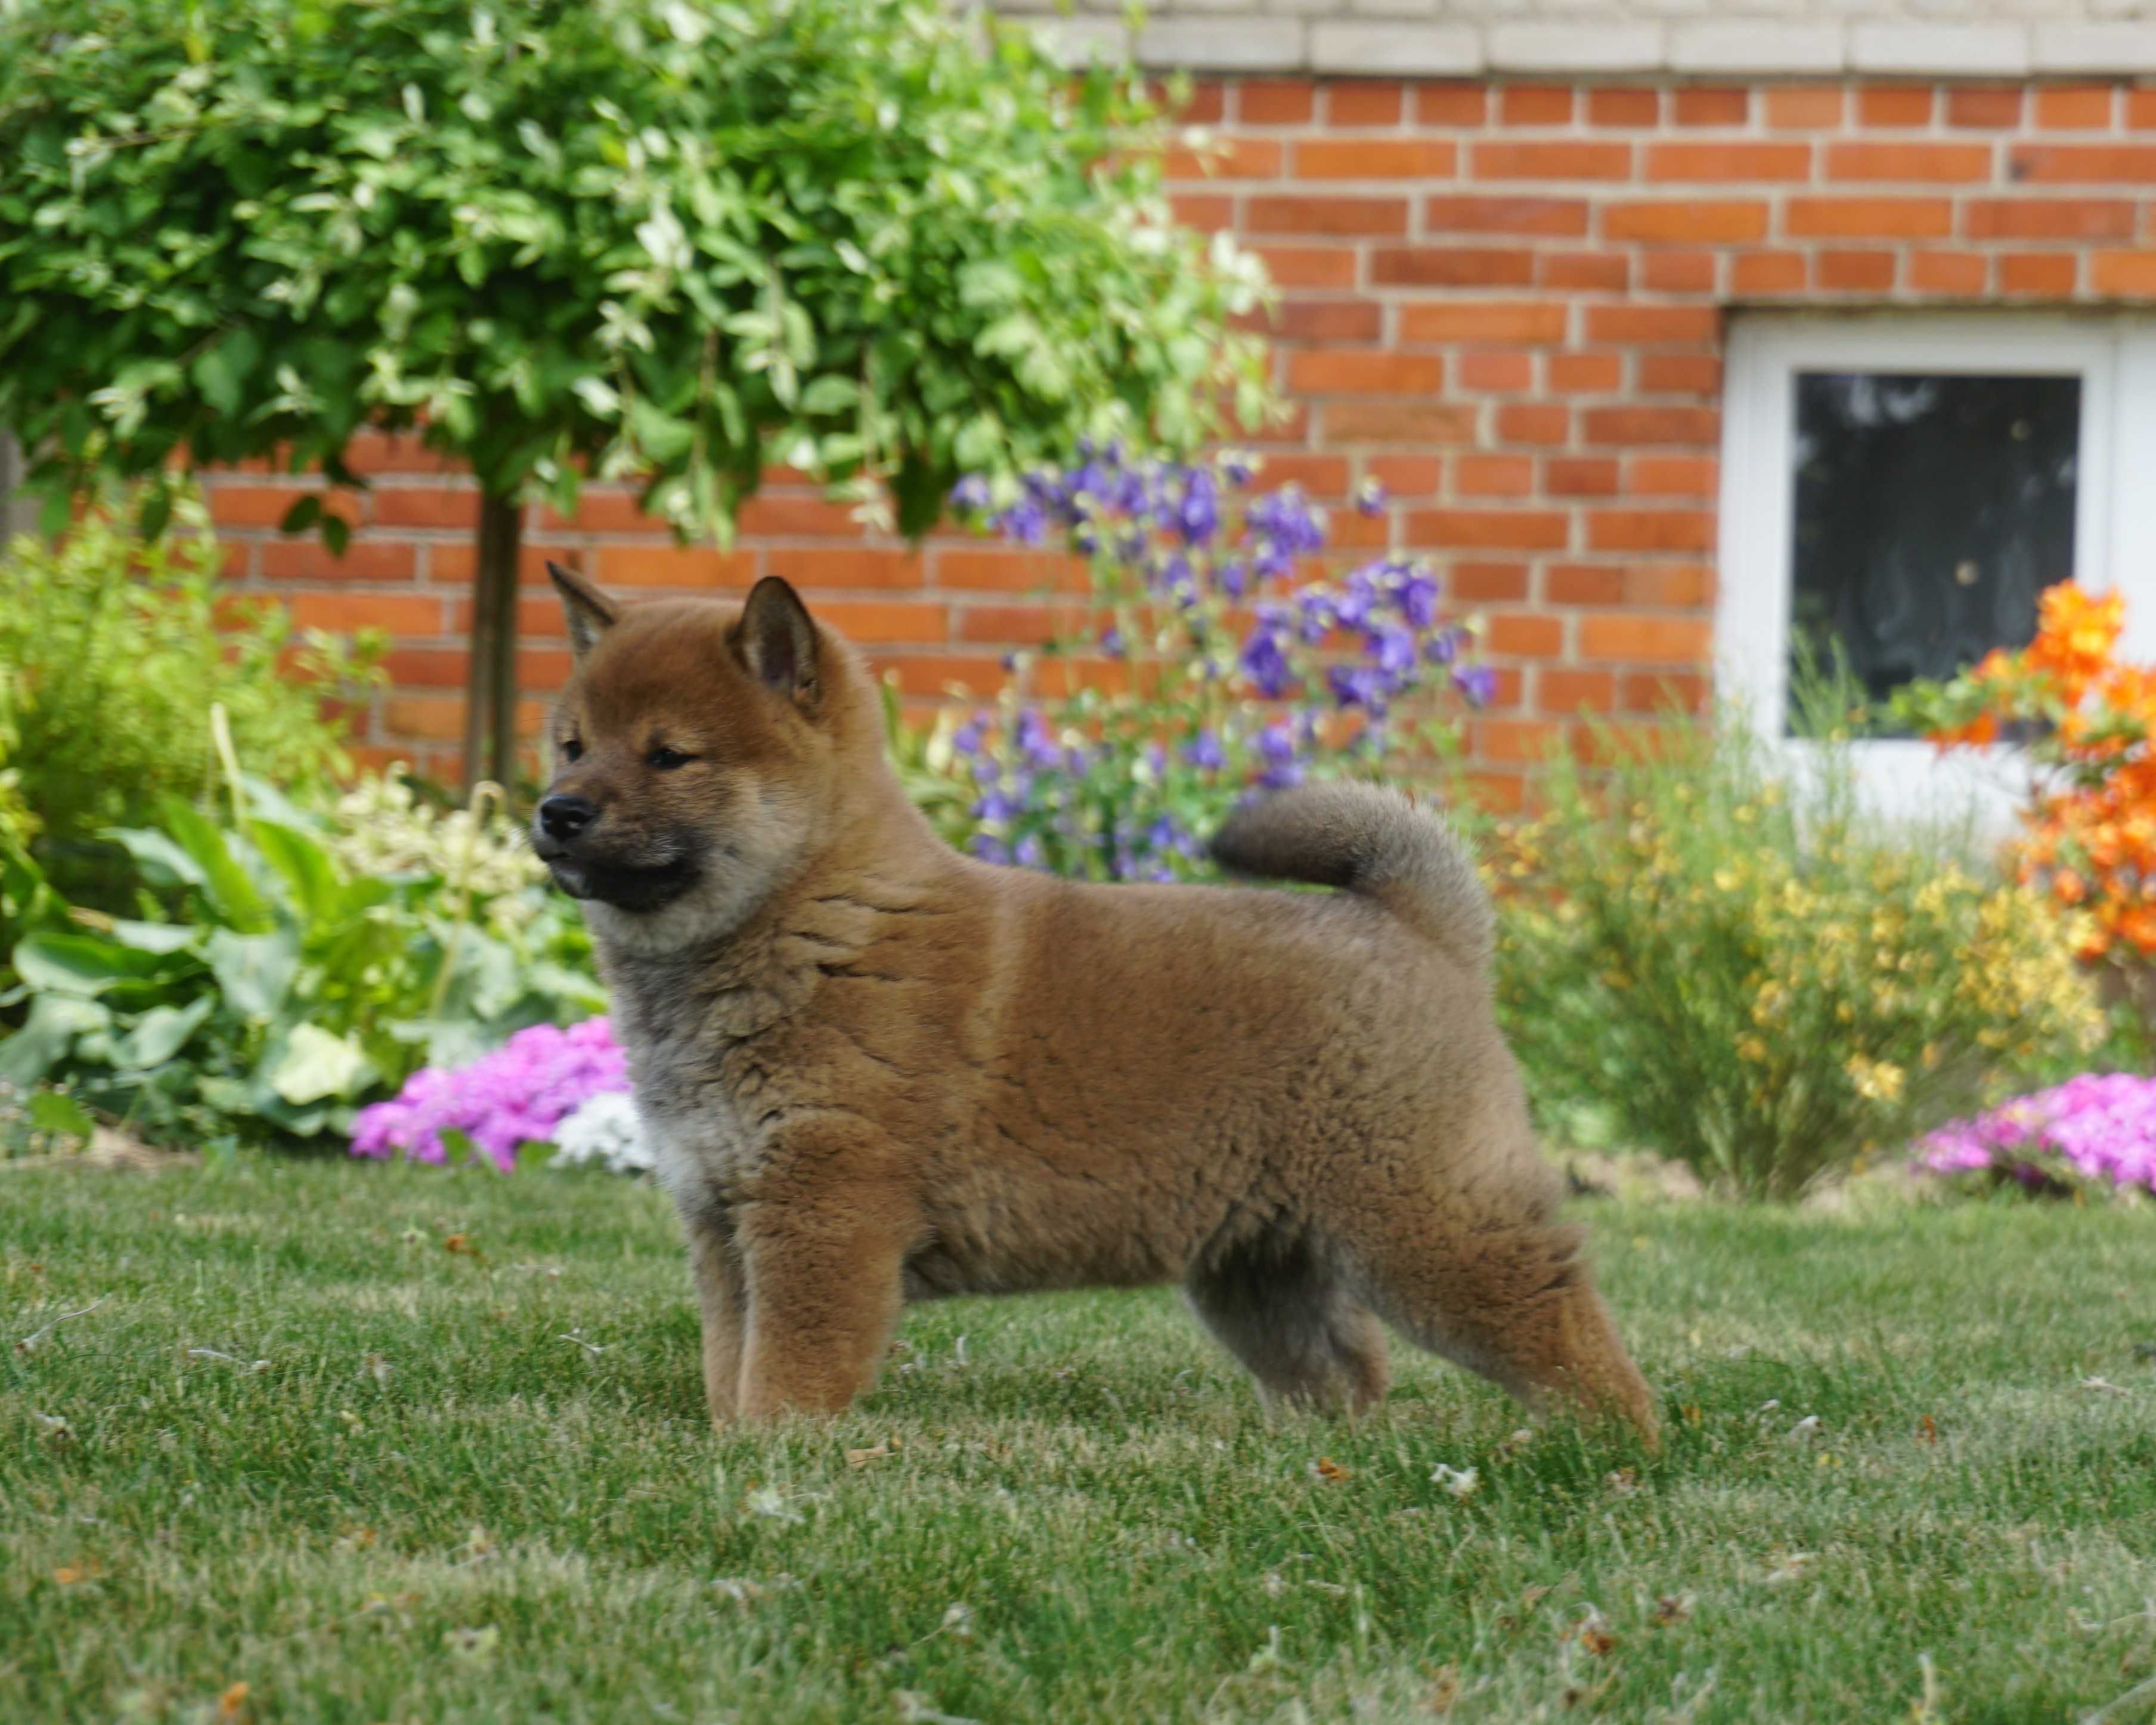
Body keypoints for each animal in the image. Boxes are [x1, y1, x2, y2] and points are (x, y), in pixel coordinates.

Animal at [530, 569, 1656, 1440]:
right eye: (574, 745)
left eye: (669, 755)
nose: (555, 811)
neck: (811, 916)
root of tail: (1420, 926)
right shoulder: (723, 1219)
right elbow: (729, 1362)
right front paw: (728, 1453)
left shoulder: (823, 1214)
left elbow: (787, 1371)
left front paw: (769, 1458)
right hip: (1260, 1264)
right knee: (1348, 1370)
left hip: (1425, 1225)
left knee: (1562, 1320)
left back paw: (1607, 1449)